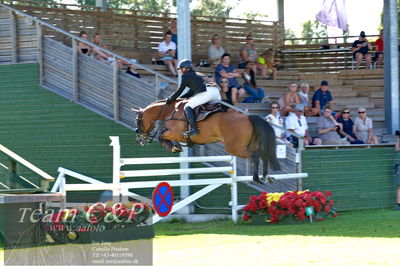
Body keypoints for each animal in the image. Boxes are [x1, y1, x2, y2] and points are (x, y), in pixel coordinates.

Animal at [133, 98, 280, 184]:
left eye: (138, 121)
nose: (139, 140)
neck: (170, 110)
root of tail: (248, 117)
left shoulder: (175, 133)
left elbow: (160, 136)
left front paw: (173, 147)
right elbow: (163, 135)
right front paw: (176, 147)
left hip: (235, 148)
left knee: (255, 156)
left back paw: (257, 178)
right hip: (247, 145)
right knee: (263, 154)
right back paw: (266, 176)